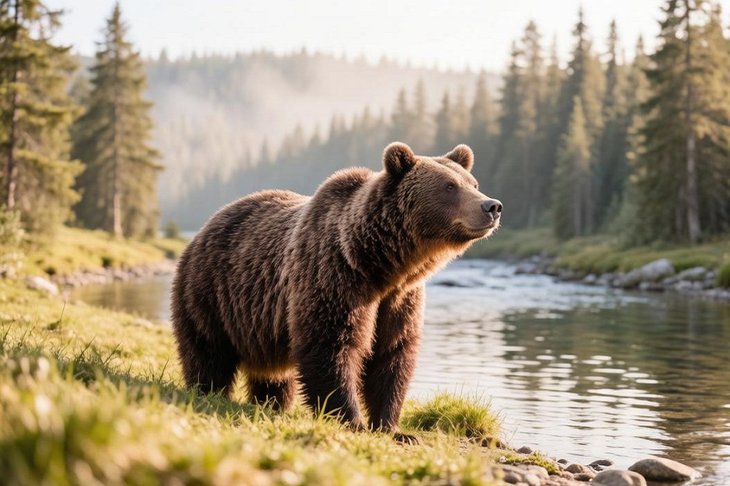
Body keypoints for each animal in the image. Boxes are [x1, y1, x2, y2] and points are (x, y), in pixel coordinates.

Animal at [171, 142, 502, 440]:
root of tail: (208, 224)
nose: (492, 206)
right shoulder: (336, 277)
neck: (383, 264)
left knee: (275, 376)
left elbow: (393, 355)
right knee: (208, 351)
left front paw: (393, 428)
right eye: (449, 186)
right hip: (211, 292)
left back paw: (272, 403)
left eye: (473, 183)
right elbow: (332, 344)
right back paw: (208, 391)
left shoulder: (398, 300)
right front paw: (351, 419)